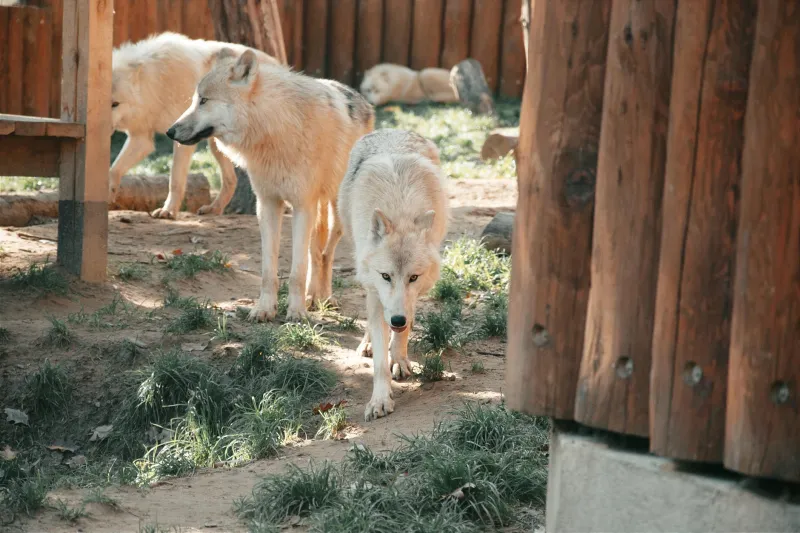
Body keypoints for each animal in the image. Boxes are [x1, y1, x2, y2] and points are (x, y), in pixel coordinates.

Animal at [110, 32, 278, 219]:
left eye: (115, 104)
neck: (156, 82)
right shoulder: (141, 138)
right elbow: (113, 170)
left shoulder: (180, 137)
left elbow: (175, 179)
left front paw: (168, 210)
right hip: (217, 145)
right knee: (231, 180)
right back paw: (214, 209)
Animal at [167, 49, 374, 321]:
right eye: (194, 100)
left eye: (203, 100)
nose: (170, 131)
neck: (275, 129)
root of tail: (363, 101)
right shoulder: (268, 205)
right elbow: (269, 270)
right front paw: (265, 309)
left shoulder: (301, 206)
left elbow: (297, 271)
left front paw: (296, 313)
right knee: (315, 253)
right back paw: (312, 297)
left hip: (336, 215)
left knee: (326, 255)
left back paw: (325, 298)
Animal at [338, 129, 449, 421]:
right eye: (386, 276)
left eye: (413, 277)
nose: (397, 320)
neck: (400, 208)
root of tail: (393, 130)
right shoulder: (378, 292)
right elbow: (379, 361)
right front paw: (379, 400)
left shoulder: (410, 297)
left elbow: (403, 330)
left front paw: (398, 359)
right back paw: (367, 343)